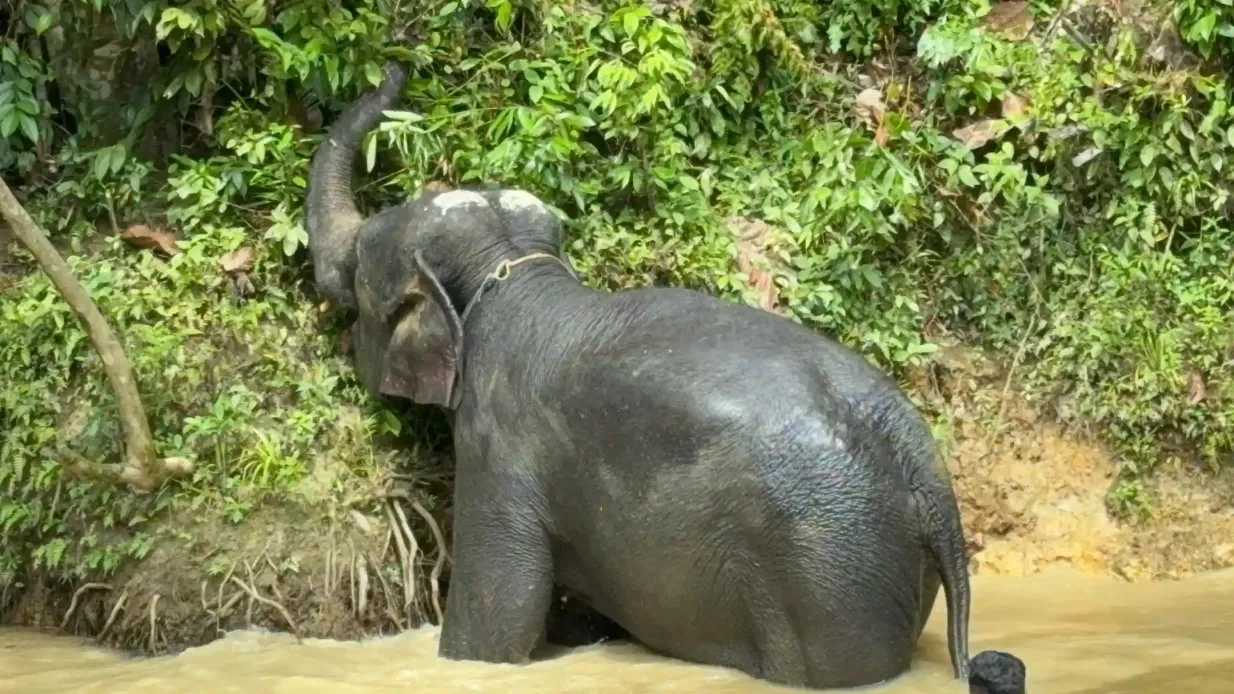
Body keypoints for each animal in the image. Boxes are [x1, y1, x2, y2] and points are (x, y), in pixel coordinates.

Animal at [304, 61, 1027, 693]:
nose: (397, 64)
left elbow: (499, 615)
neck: (512, 272)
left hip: (830, 567)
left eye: (361, 269)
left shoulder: (499, 444)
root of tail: (923, 465)